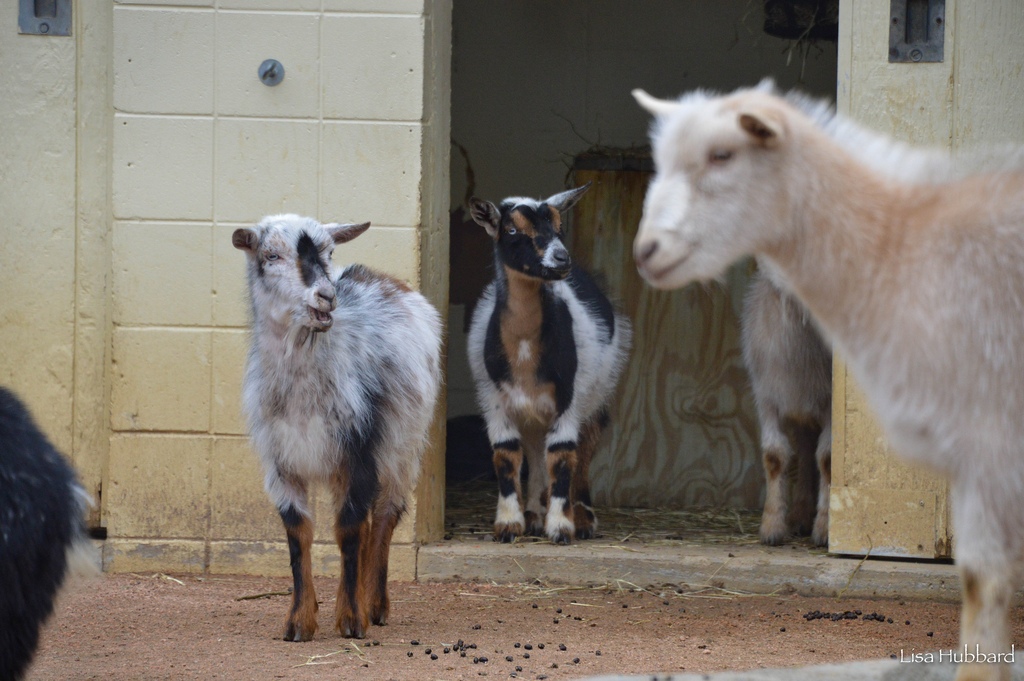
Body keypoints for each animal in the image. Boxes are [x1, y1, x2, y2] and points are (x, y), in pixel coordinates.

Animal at [232, 214, 442, 641]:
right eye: (271, 255)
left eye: (329, 252)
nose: (326, 296)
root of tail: (386, 279)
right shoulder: (281, 463)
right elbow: (299, 533)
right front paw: (299, 621)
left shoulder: (360, 451)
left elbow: (348, 529)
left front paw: (351, 619)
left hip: (403, 445)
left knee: (384, 516)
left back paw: (375, 605)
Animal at [467, 184, 631, 545]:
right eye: (511, 230)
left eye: (559, 227)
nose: (560, 259)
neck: (525, 351)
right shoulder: (493, 398)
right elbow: (506, 454)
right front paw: (509, 524)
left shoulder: (568, 397)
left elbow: (563, 455)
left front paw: (560, 527)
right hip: (530, 412)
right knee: (533, 450)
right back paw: (533, 513)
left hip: (597, 390)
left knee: (585, 445)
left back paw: (581, 518)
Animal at [741, 265, 831, 547]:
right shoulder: (767, 399)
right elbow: (774, 456)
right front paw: (771, 527)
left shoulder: (830, 406)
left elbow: (827, 458)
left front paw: (824, 528)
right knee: (805, 451)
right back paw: (800, 514)